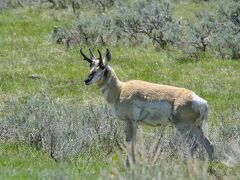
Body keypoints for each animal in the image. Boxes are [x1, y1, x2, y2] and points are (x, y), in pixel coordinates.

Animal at [80, 47, 214, 165]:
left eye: (102, 66)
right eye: (90, 65)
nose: (86, 80)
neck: (120, 90)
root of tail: (201, 102)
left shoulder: (129, 122)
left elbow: (129, 143)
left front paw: (129, 165)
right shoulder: (135, 124)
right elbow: (133, 143)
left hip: (184, 128)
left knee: (193, 145)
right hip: (196, 127)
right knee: (208, 145)